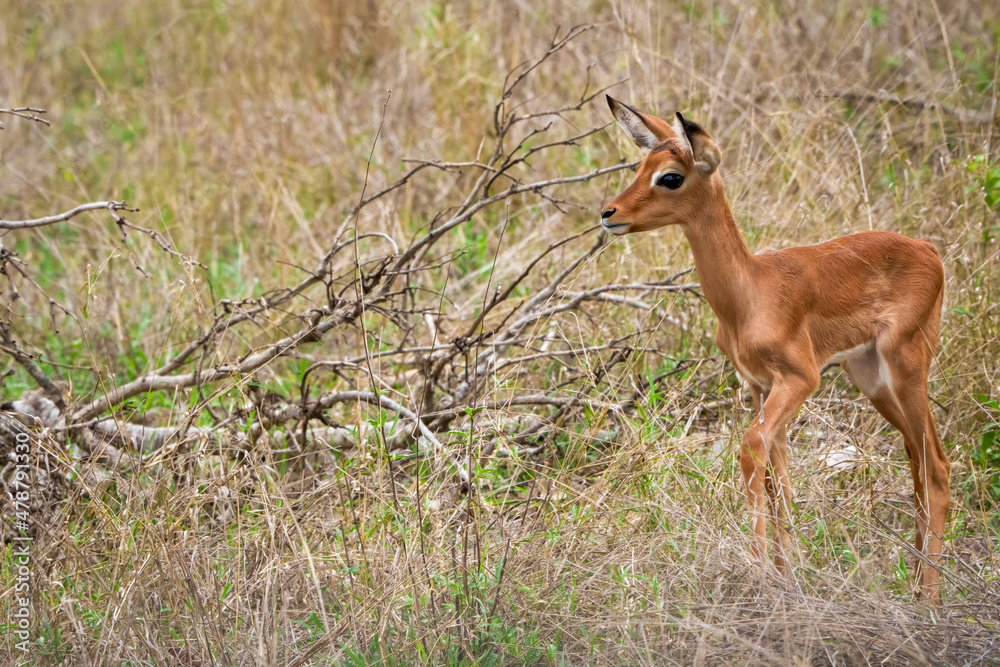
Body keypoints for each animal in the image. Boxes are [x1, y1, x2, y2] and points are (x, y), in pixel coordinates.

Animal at [600, 95, 950, 602]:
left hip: (905, 366)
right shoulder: (760, 387)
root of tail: (930, 251)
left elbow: (751, 452)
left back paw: (929, 602)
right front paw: (787, 580)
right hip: (873, 380)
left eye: (670, 176)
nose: (609, 213)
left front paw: (761, 574)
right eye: (639, 164)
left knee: (937, 468)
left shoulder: (800, 379)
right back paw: (916, 589)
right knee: (918, 465)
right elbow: (779, 484)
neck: (750, 294)